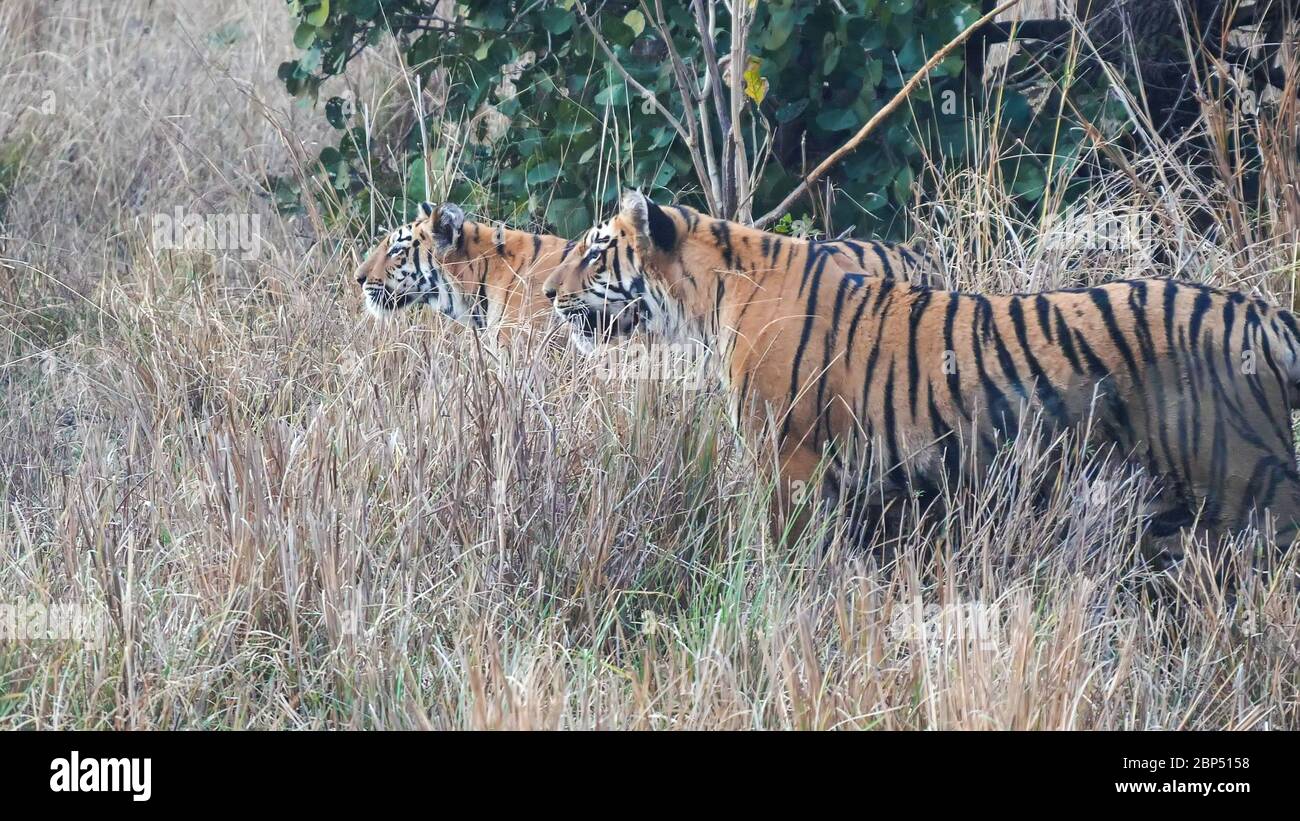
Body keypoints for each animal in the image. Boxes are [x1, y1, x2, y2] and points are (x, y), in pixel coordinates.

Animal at [543, 190, 1300, 556]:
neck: (707, 302)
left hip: (1249, 490)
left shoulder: (787, 461)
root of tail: (1263, 315)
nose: (547, 293)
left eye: (595, 251)